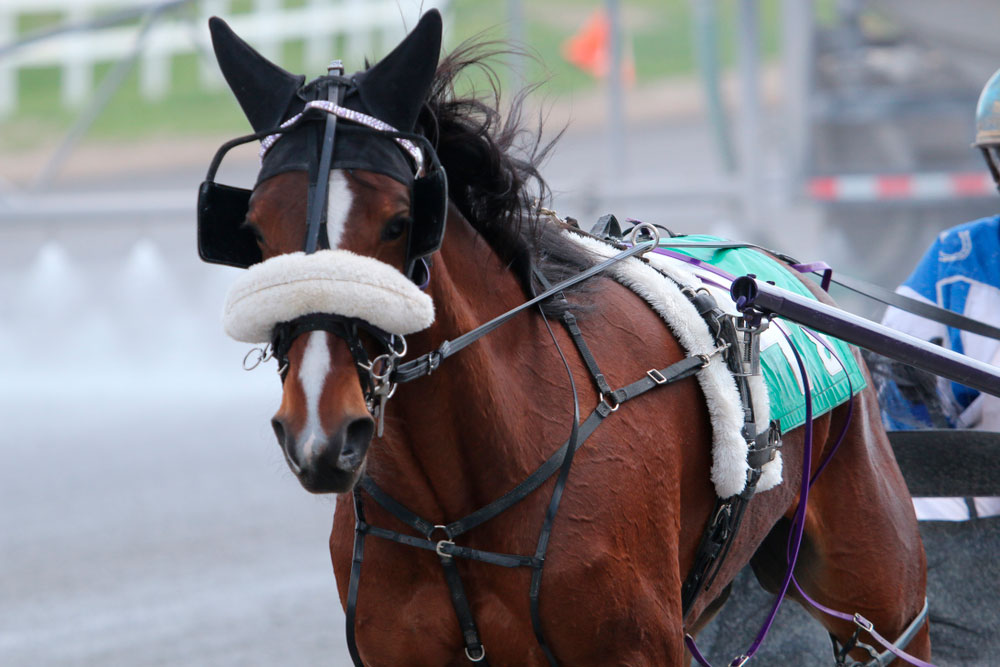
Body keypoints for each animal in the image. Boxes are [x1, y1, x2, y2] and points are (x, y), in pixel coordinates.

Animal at [197, 10, 928, 667]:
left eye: (399, 222)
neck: (454, 511)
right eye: (255, 231)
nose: (321, 431)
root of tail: (788, 274)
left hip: (883, 599)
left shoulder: (633, 648)